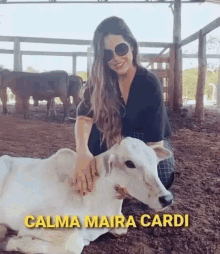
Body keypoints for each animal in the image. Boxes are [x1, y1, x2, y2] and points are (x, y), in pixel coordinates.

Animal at [0, 138, 174, 253]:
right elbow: (73, 244)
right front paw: (12, 241)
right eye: (130, 163)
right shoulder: (34, 221)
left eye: (155, 162)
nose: (166, 198)